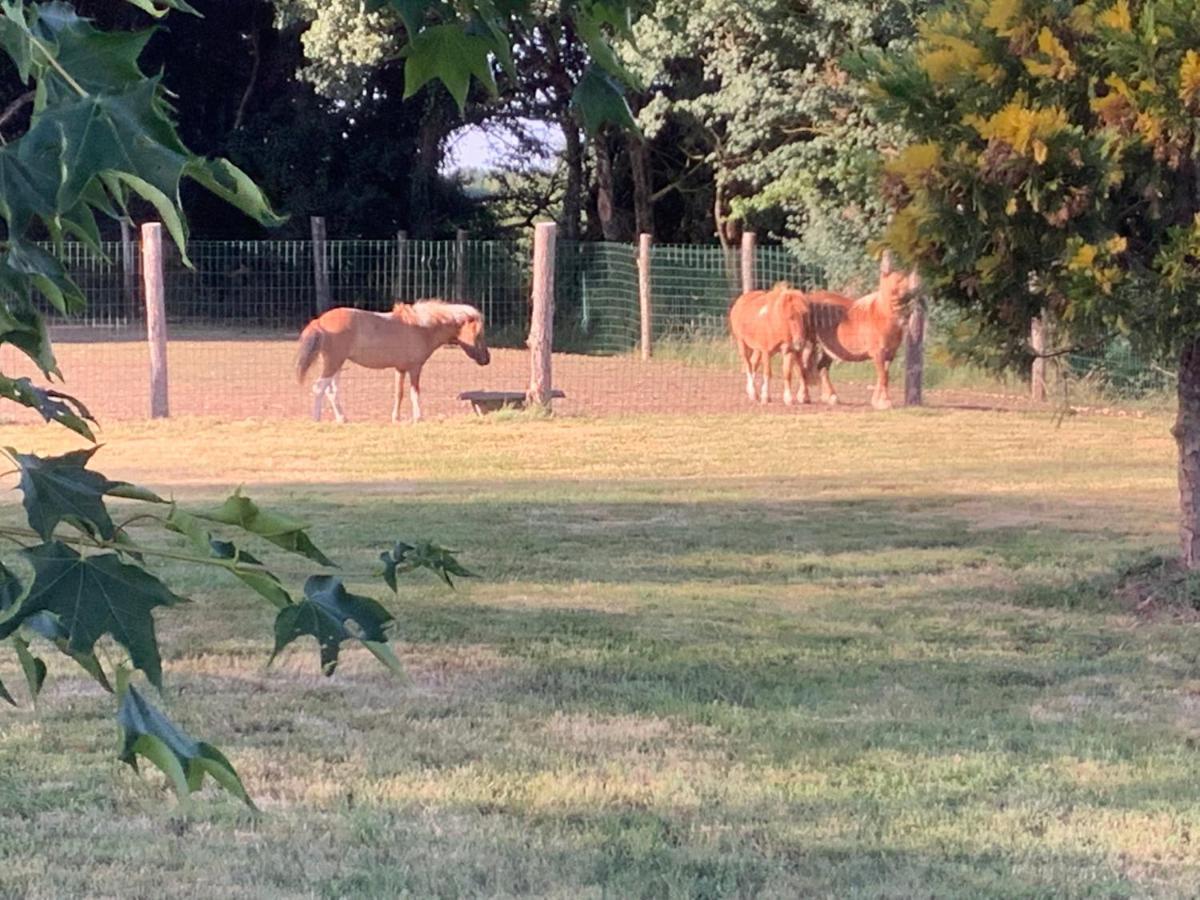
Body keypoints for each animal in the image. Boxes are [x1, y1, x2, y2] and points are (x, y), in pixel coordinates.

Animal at [297, 296, 489, 422]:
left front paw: (396, 418)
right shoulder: (415, 368)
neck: (422, 327)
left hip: (337, 364)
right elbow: (414, 393)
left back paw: (342, 418)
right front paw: (418, 417)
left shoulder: (400, 369)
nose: (487, 359)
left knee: (331, 391)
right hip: (333, 362)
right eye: (479, 334)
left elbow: (399, 393)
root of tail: (319, 321)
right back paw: (316, 419)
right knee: (319, 388)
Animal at [796, 259, 916, 410]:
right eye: (898, 280)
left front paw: (877, 400)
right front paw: (884, 402)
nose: (914, 291)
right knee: (803, 367)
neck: (881, 315)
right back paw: (804, 396)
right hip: (809, 343)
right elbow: (883, 376)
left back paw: (831, 397)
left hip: (828, 349)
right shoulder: (878, 353)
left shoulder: (890, 355)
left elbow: (883, 376)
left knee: (822, 368)